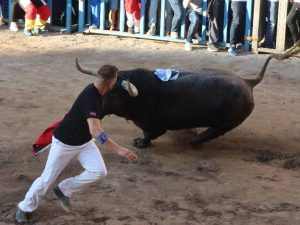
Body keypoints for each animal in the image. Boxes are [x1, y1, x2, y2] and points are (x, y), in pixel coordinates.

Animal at [76, 55, 274, 148]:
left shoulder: (156, 126)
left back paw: (194, 141)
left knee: (214, 132)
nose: (92, 109)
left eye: (114, 95)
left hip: (225, 124)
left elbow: (148, 135)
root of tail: (249, 82)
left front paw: (140, 143)